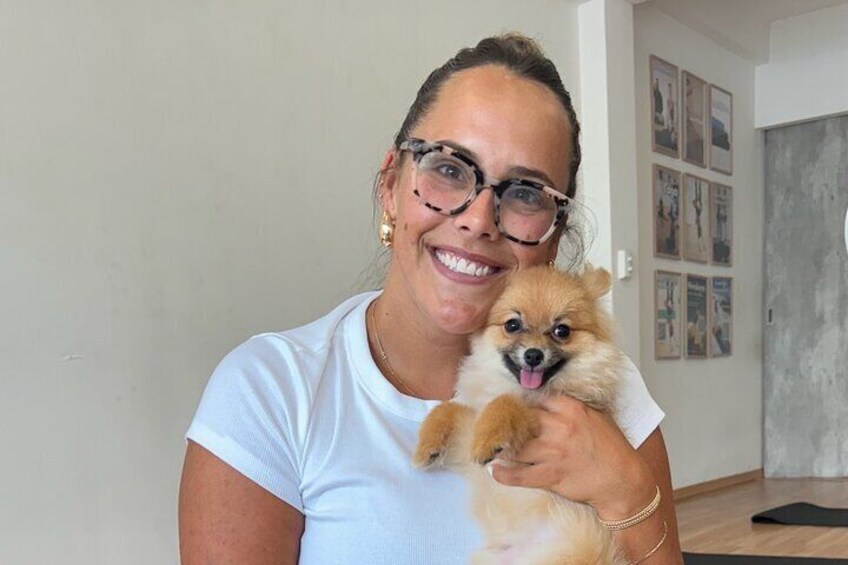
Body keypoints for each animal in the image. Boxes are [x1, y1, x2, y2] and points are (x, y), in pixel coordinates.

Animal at [414, 264, 628, 564]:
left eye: (562, 330)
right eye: (512, 325)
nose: (533, 355)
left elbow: (507, 403)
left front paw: (490, 437)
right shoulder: (470, 431)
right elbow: (451, 408)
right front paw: (427, 445)